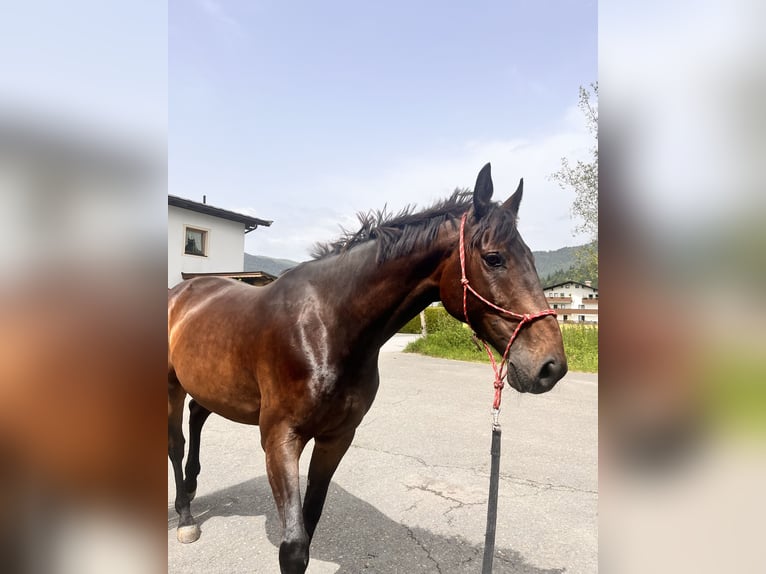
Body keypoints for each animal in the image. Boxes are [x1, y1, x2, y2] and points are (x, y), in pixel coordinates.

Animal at [168, 163, 568, 574]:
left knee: (197, 414)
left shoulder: (337, 438)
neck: (326, 326)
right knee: (175, 442)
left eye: (531, 257)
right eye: (493, 258)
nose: (550, 365)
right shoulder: (280, 438)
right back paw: (185, 516)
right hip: (171, 386)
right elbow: (293, 547)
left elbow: (309, 524)